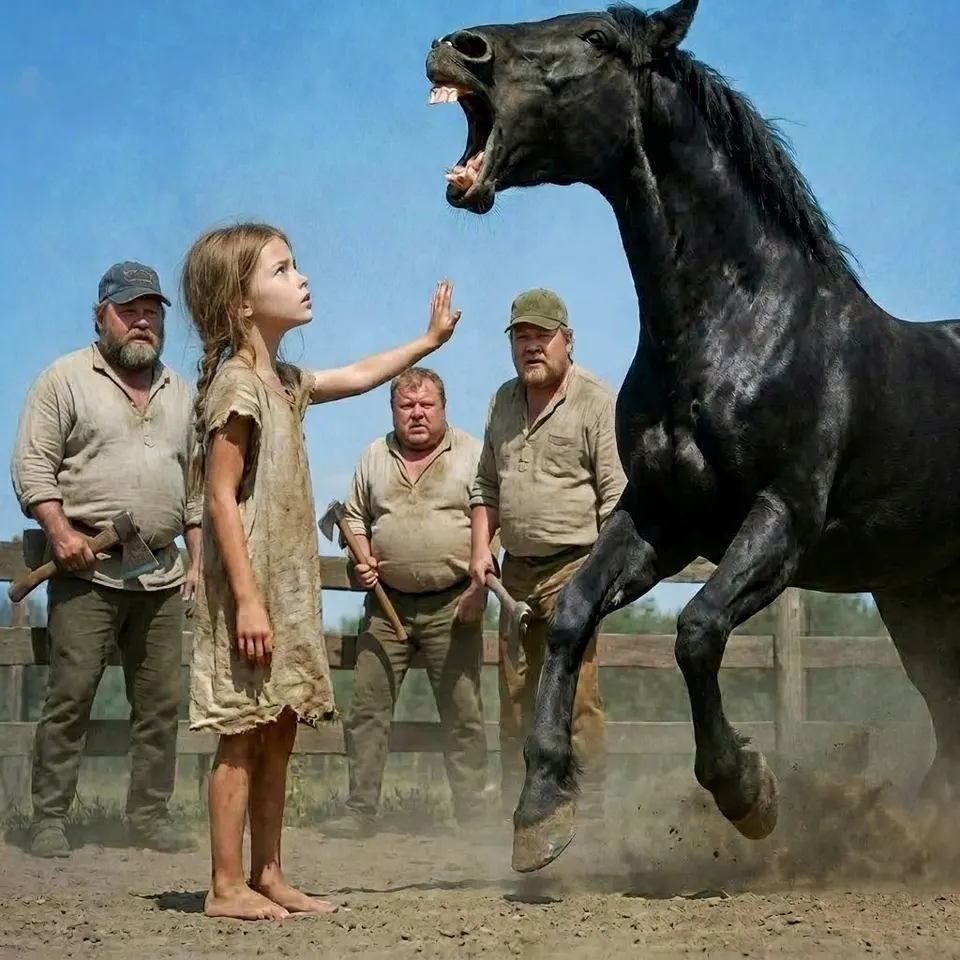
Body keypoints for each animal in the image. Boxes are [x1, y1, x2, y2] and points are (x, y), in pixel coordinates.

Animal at [425, 1, 960, 874]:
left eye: (599, 38)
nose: (457, 48)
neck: (741, 327)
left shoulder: (782, 519)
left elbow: (697, 632)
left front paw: (748, 792)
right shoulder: (663, 520)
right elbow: (571, 614)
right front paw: (542, 809)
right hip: (916, 599)